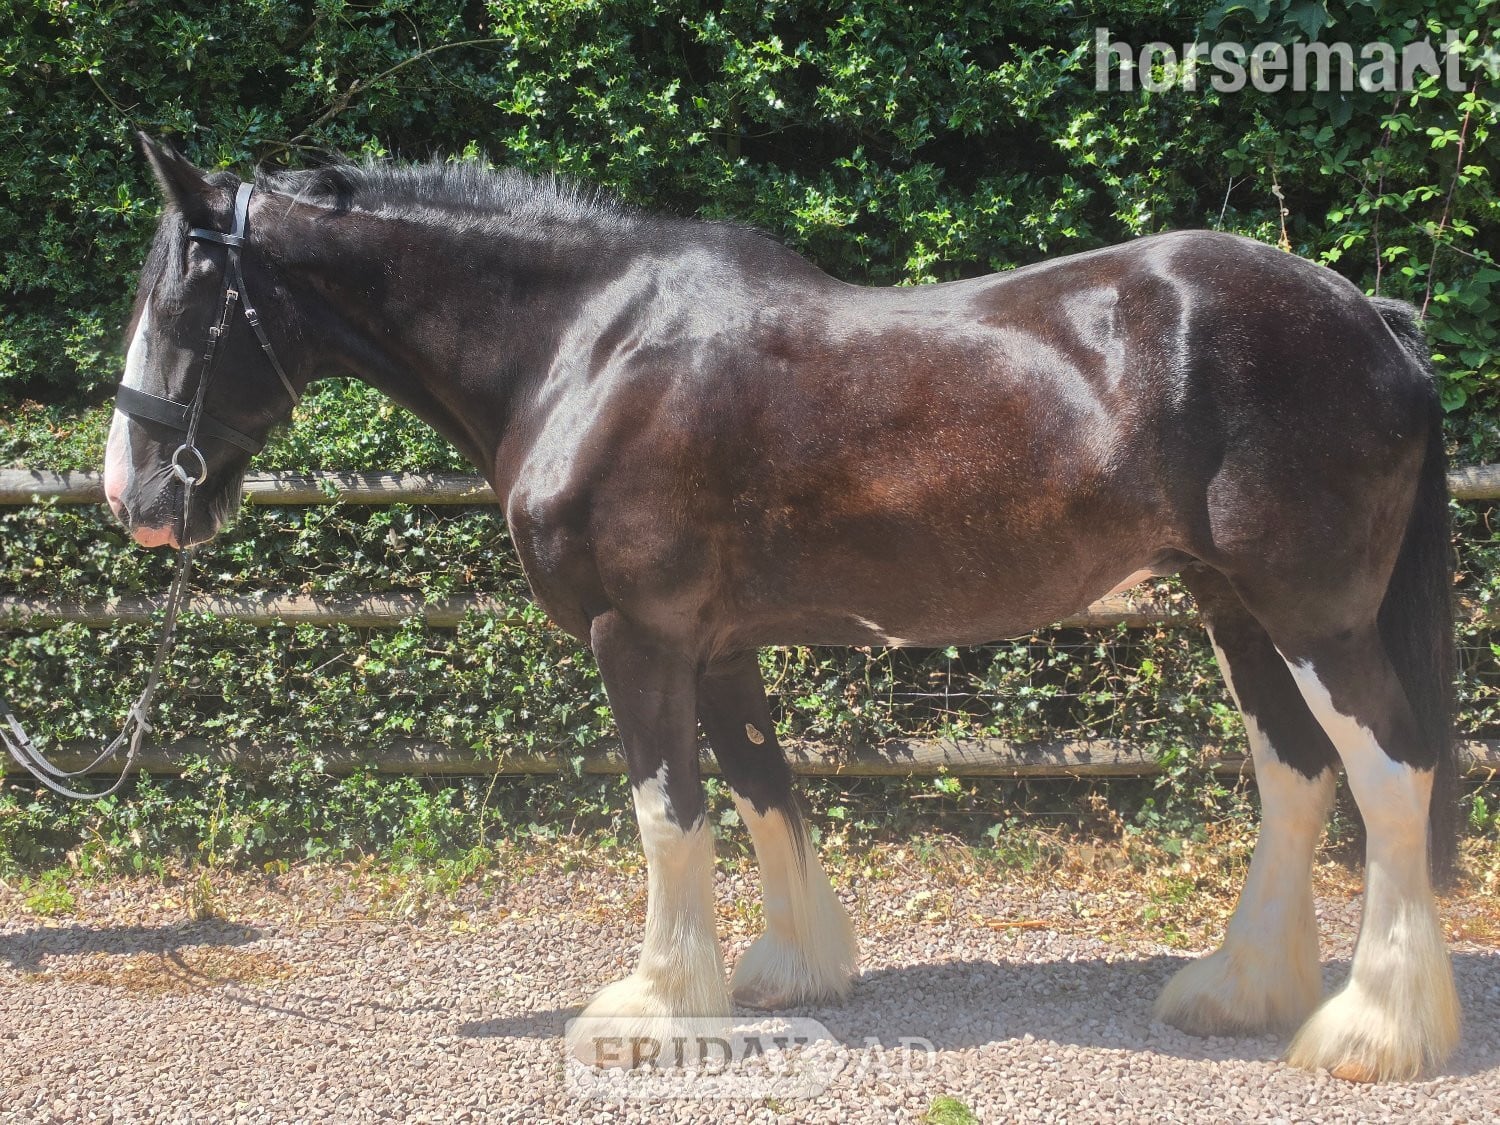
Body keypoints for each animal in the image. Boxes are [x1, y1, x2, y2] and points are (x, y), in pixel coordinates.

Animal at [104, 134, 1460, 1082]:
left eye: (180, 307)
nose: (136, 496)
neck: (587, 346)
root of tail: (1375, 321)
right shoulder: (716, 649)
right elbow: (763, 792)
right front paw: (786, 971)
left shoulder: (640, 638)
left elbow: (669, 817)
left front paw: (655, 1010)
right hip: (1234, 607)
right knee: (1296, 773)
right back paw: (1240, 990)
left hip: (1314, 615)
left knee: (1391, 775)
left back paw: (1373, 1032)